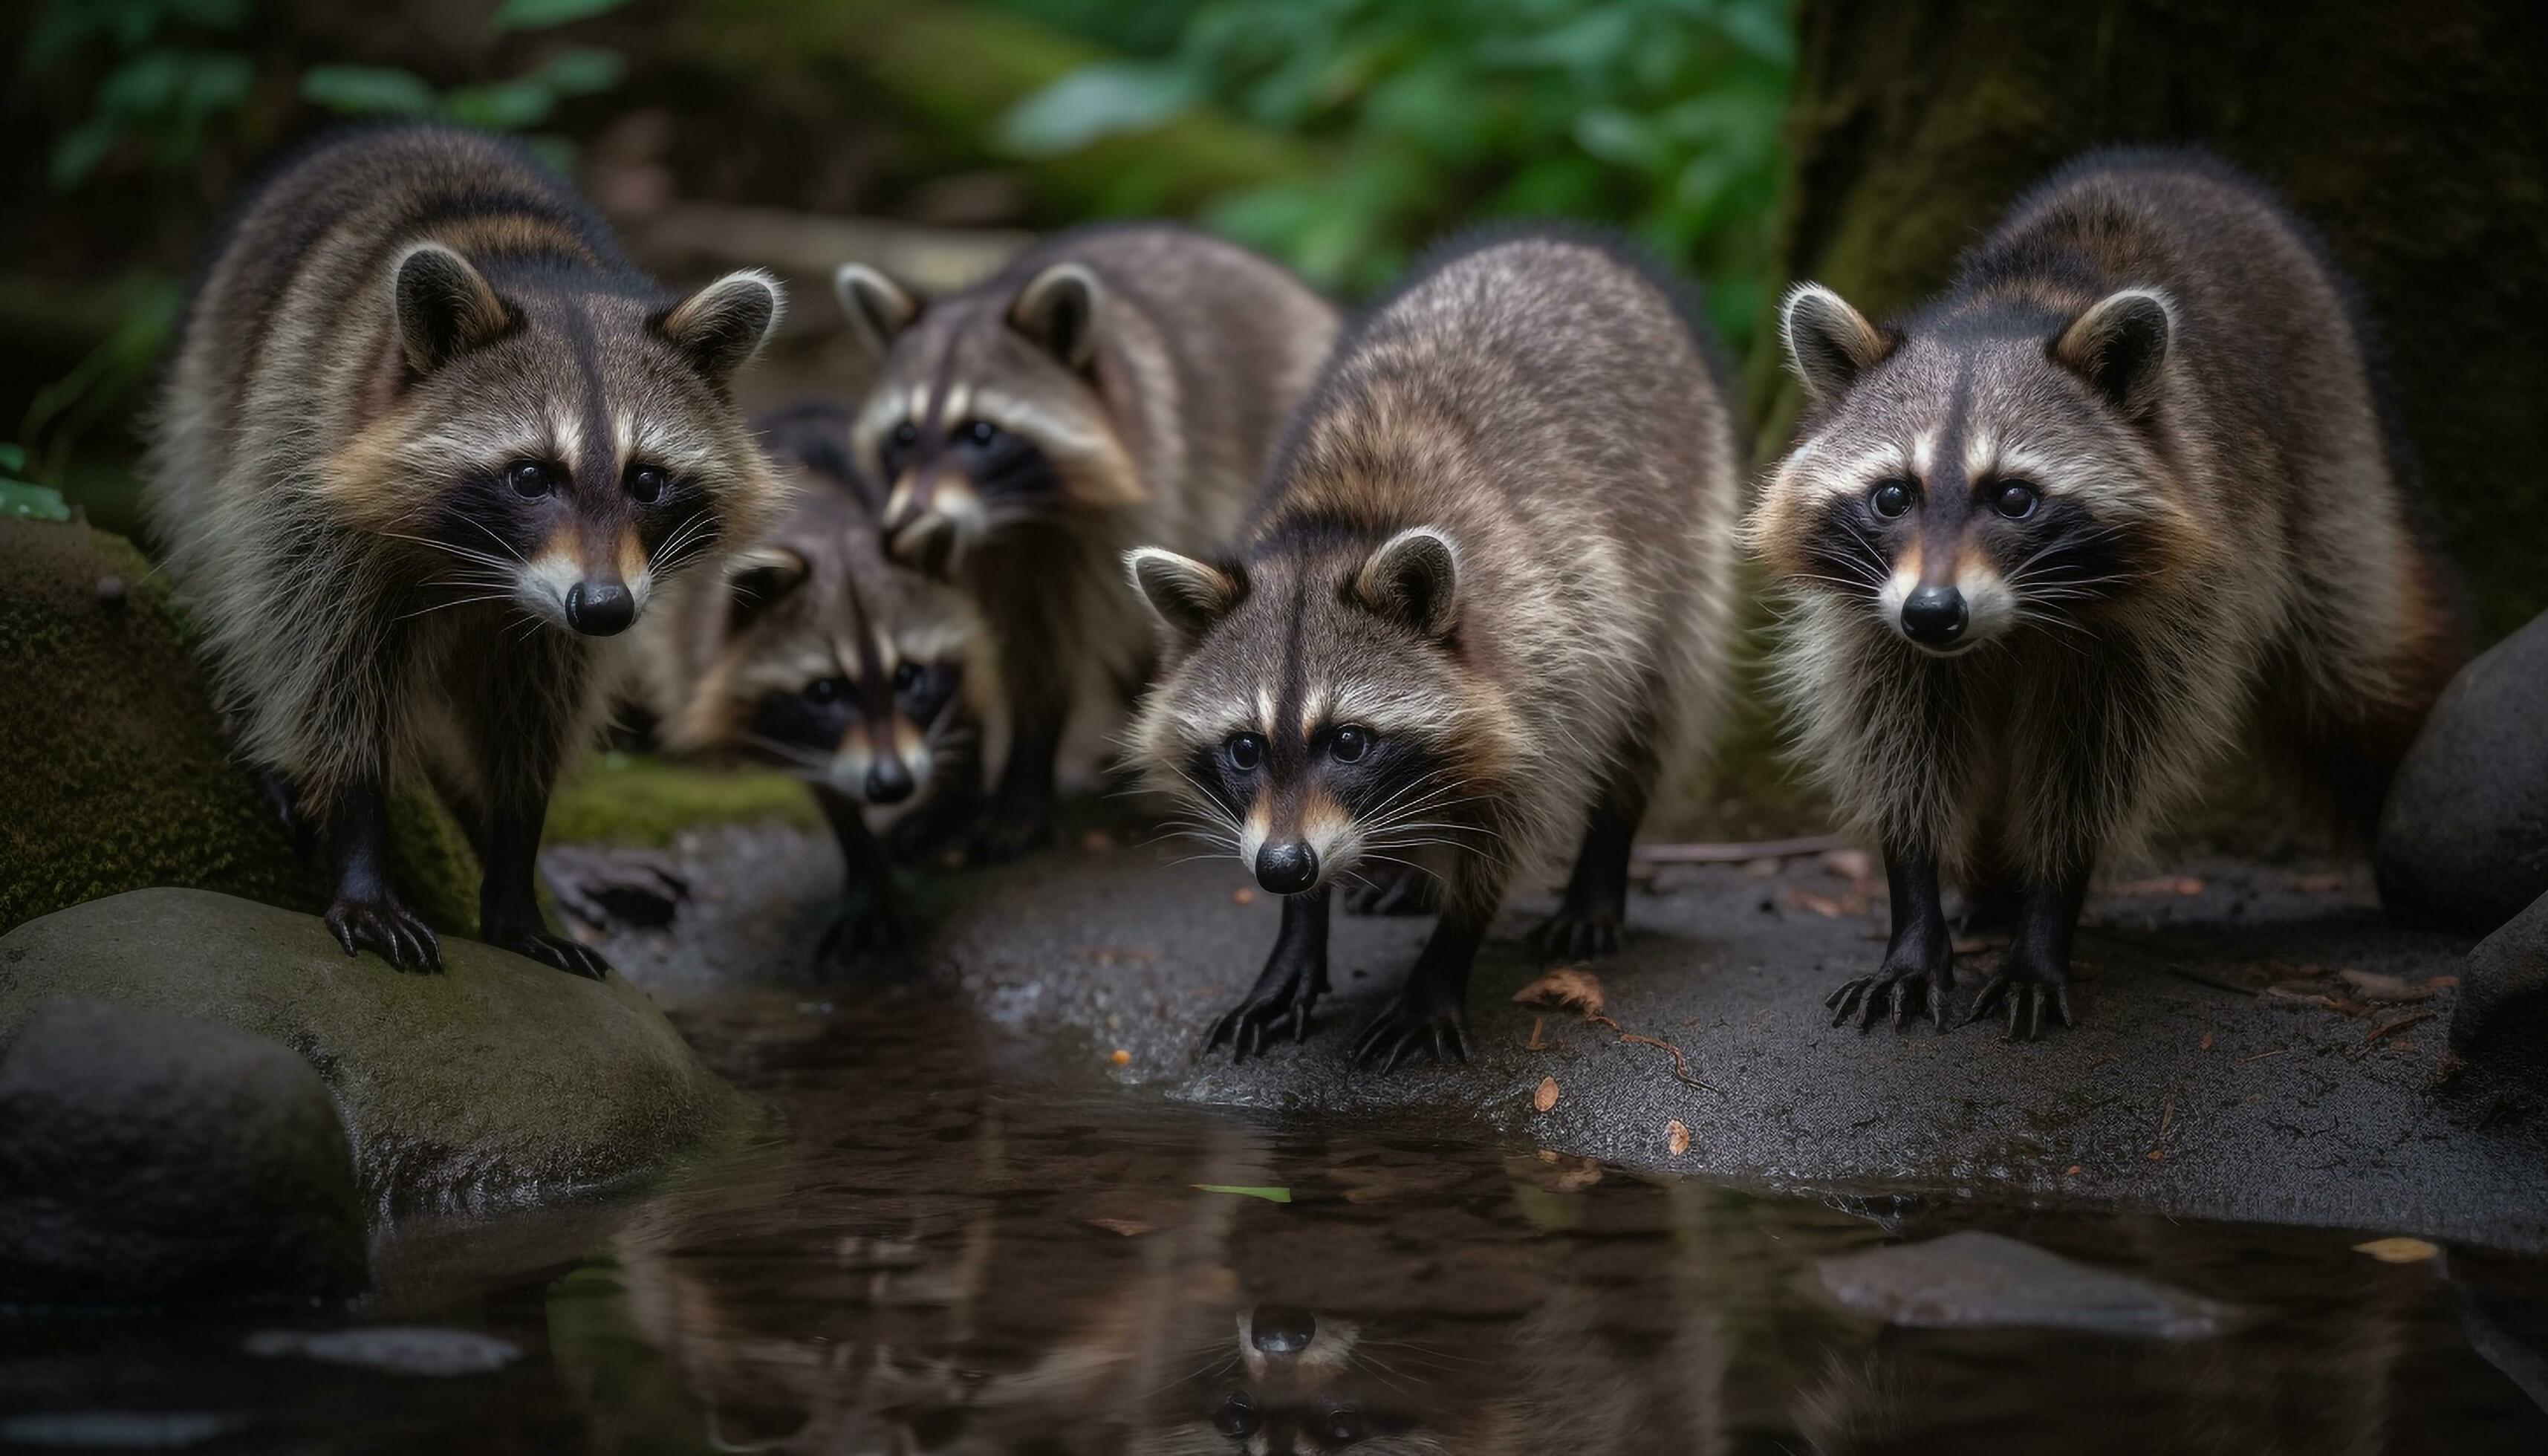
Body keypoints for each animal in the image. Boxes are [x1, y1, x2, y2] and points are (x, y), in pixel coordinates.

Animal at [144, 128, 779, 979]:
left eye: (647, 480)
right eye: (531, 476)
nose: (603, 608)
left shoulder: (573, 609)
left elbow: (534, 714)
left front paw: (514, 864)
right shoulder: (309, 461)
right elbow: (326, 671)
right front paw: (359, 843)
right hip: (213, 395)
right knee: (232, 574)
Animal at [647, 403, 983, 969]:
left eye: (908, 676)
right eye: (825, 691)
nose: (892, 785)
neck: (826, 526)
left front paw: (964, 792)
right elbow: (833, 786)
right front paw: (865, 868)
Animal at [836, 227, 1355, 862]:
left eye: (981, 434)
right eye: (905, 435)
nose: (903, 526)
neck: (1006, 527)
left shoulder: (1126, 512)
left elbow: (1059, 645)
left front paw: (1022, 778)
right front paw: (957, 788)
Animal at [1126, 228, 1743, 1070]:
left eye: (1349, 742)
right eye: (1245, 748)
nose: (1283, 868)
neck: (1336, 527)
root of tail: (1564, 243)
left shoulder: (1553, 643)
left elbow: (1511, 823)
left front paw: (1445, 958)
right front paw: (1298, 931)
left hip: (1686, 545)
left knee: (1654, 709)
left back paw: (1599, 865)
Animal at [1752, 148, 2466, 1040]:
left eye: (2013, 497)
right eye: (1892, 496)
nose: (1935, 615)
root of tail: (2175, 160)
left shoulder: (2165, 614)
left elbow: (2093, 765)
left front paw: (2048, 911)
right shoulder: (1877, 618)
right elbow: (1900, 746)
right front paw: (1914, 906)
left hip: (2329, 450)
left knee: (2356, 664)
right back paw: (1989, 882)